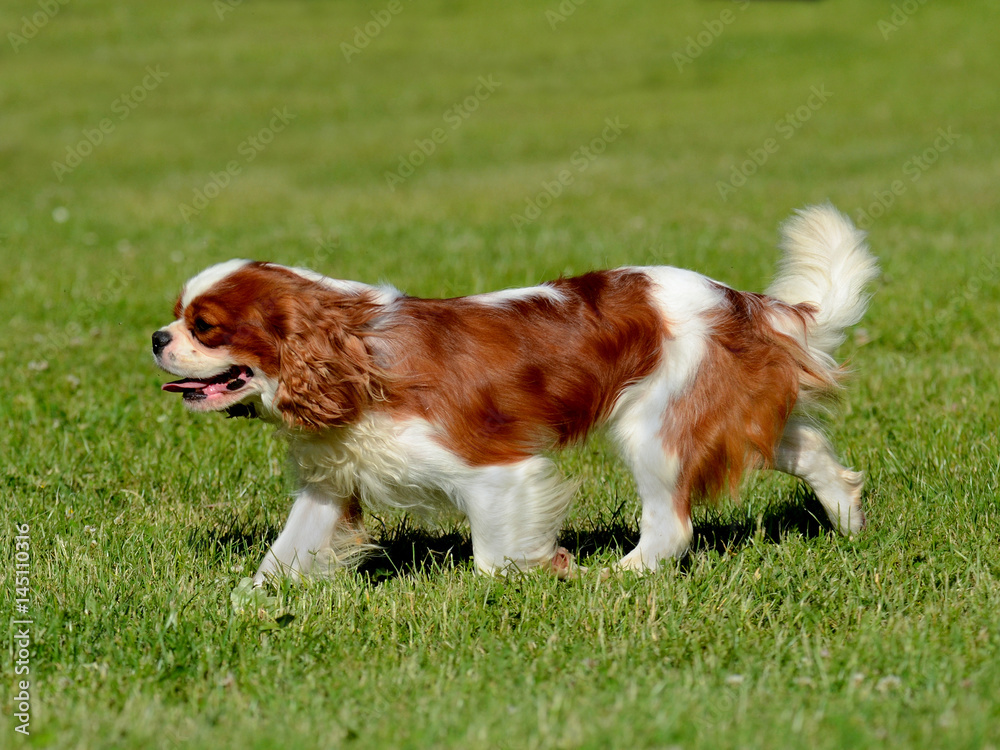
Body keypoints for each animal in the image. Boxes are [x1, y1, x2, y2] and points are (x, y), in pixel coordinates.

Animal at [154, 207, 876, 588]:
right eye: (177, 315)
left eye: (205, 326)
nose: (158, 337)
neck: (355, 353)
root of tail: (745, 303)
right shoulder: (332, 483)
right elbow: (281, 555)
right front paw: (245, 602)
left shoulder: (497, 470)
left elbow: (493, 555)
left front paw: (543, 571)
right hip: (726, 412)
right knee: (810, 452)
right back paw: (849, 524)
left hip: (654, 430)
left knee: (671, 525)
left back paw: (617, 579)